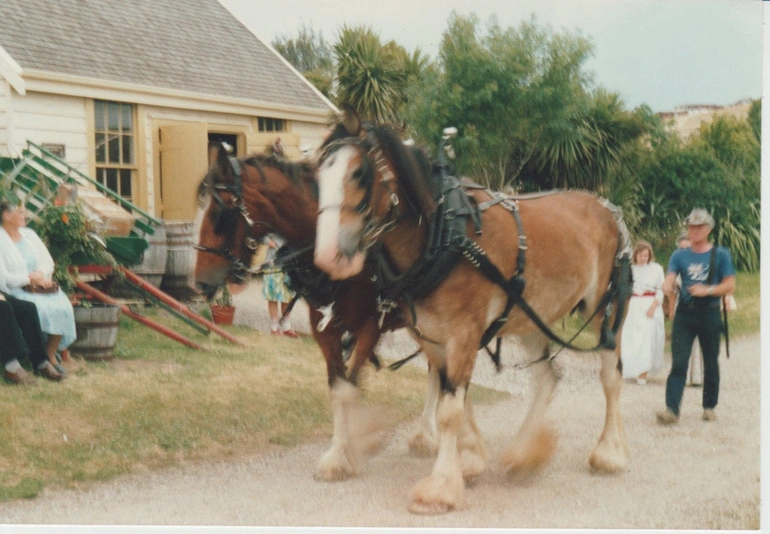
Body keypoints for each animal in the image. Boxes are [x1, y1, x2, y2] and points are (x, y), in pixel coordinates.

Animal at [310, 108, 632, 516]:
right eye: (318, 175)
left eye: (358, 173)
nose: (327, 257)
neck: (443, 232)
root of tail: (606, 208)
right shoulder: (432, 336)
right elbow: (453, 397)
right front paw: (469, 459)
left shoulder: (463, 332)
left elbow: (450, 409)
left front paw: (440, 488)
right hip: (530, 315)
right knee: (546, 380)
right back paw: (524, 454)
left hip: (608, 310)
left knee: (610, 378)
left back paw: (609, 453)